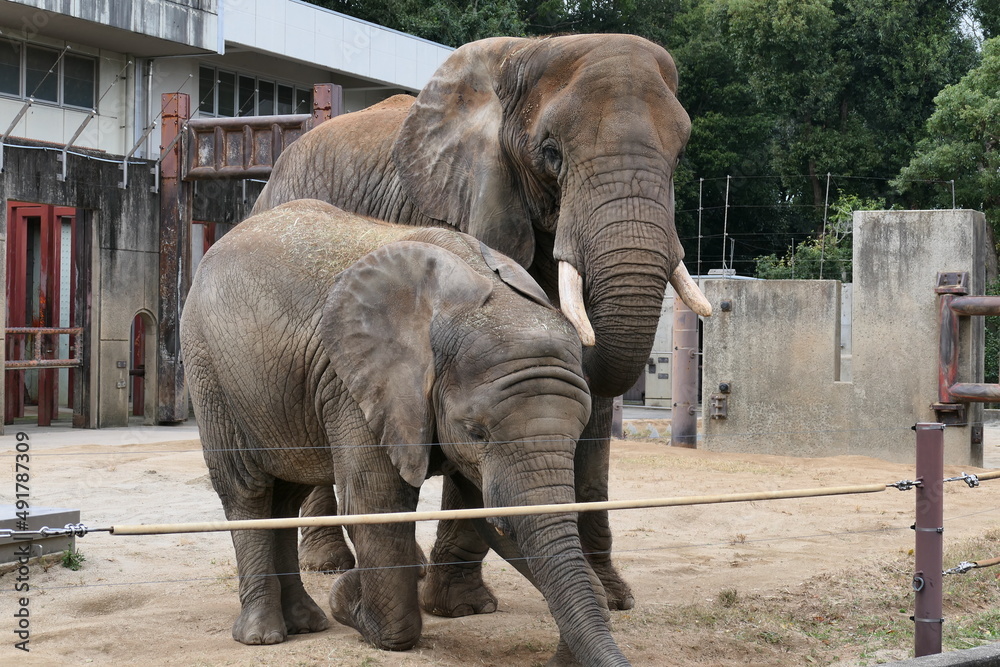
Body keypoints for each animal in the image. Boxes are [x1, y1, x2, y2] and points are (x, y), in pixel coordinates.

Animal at [180, 199, 630, 665]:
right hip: (208, 368)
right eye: (476, 433)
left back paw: (306, 623)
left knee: (285, 494)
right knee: (247, 490)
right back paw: (263, 636)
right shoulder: (355, 384)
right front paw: (350, 601)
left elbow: (483, 510)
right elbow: (377, 502)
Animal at [251, 34, 712, 615]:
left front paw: (611, 597)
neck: (528, 50)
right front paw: (459, 606)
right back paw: (329, 562)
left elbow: (594, 406)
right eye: (551, 154)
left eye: (680, 155)